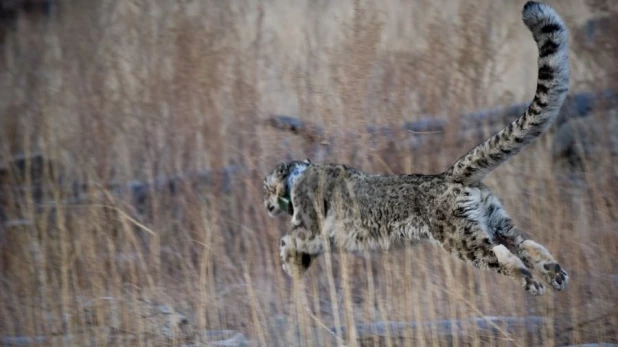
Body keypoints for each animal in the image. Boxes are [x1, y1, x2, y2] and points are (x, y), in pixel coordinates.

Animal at [260, 2, 568, 296]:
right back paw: (555, 273)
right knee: (525, 243)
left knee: (499, 253)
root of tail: (448, 175)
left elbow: (287, 238)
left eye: (265, 187)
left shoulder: (309, 228)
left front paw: (287, 263)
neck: (298, 179)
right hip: (496, 220)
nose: (266, 206)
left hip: (460, 239)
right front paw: (297, 266)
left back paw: (530, 281)